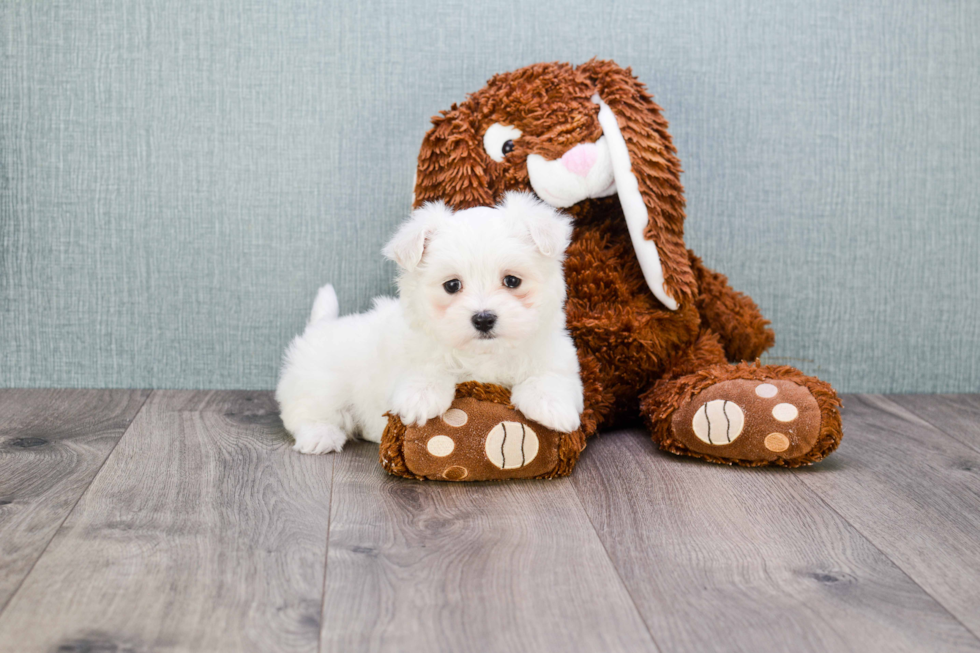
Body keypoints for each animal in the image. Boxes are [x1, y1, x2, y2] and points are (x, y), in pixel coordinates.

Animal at [276, 191, 580, 450]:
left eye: (512, 281)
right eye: (452, 285)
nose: (483, 319)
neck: (483, 354)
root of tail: (322, 324)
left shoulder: (555, 355)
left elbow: (548, 376)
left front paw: (552, 406)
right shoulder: (413, 352)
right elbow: (428, 367)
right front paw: (421, 398)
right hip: (320, 384)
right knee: (305, 412)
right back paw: (320, 435)